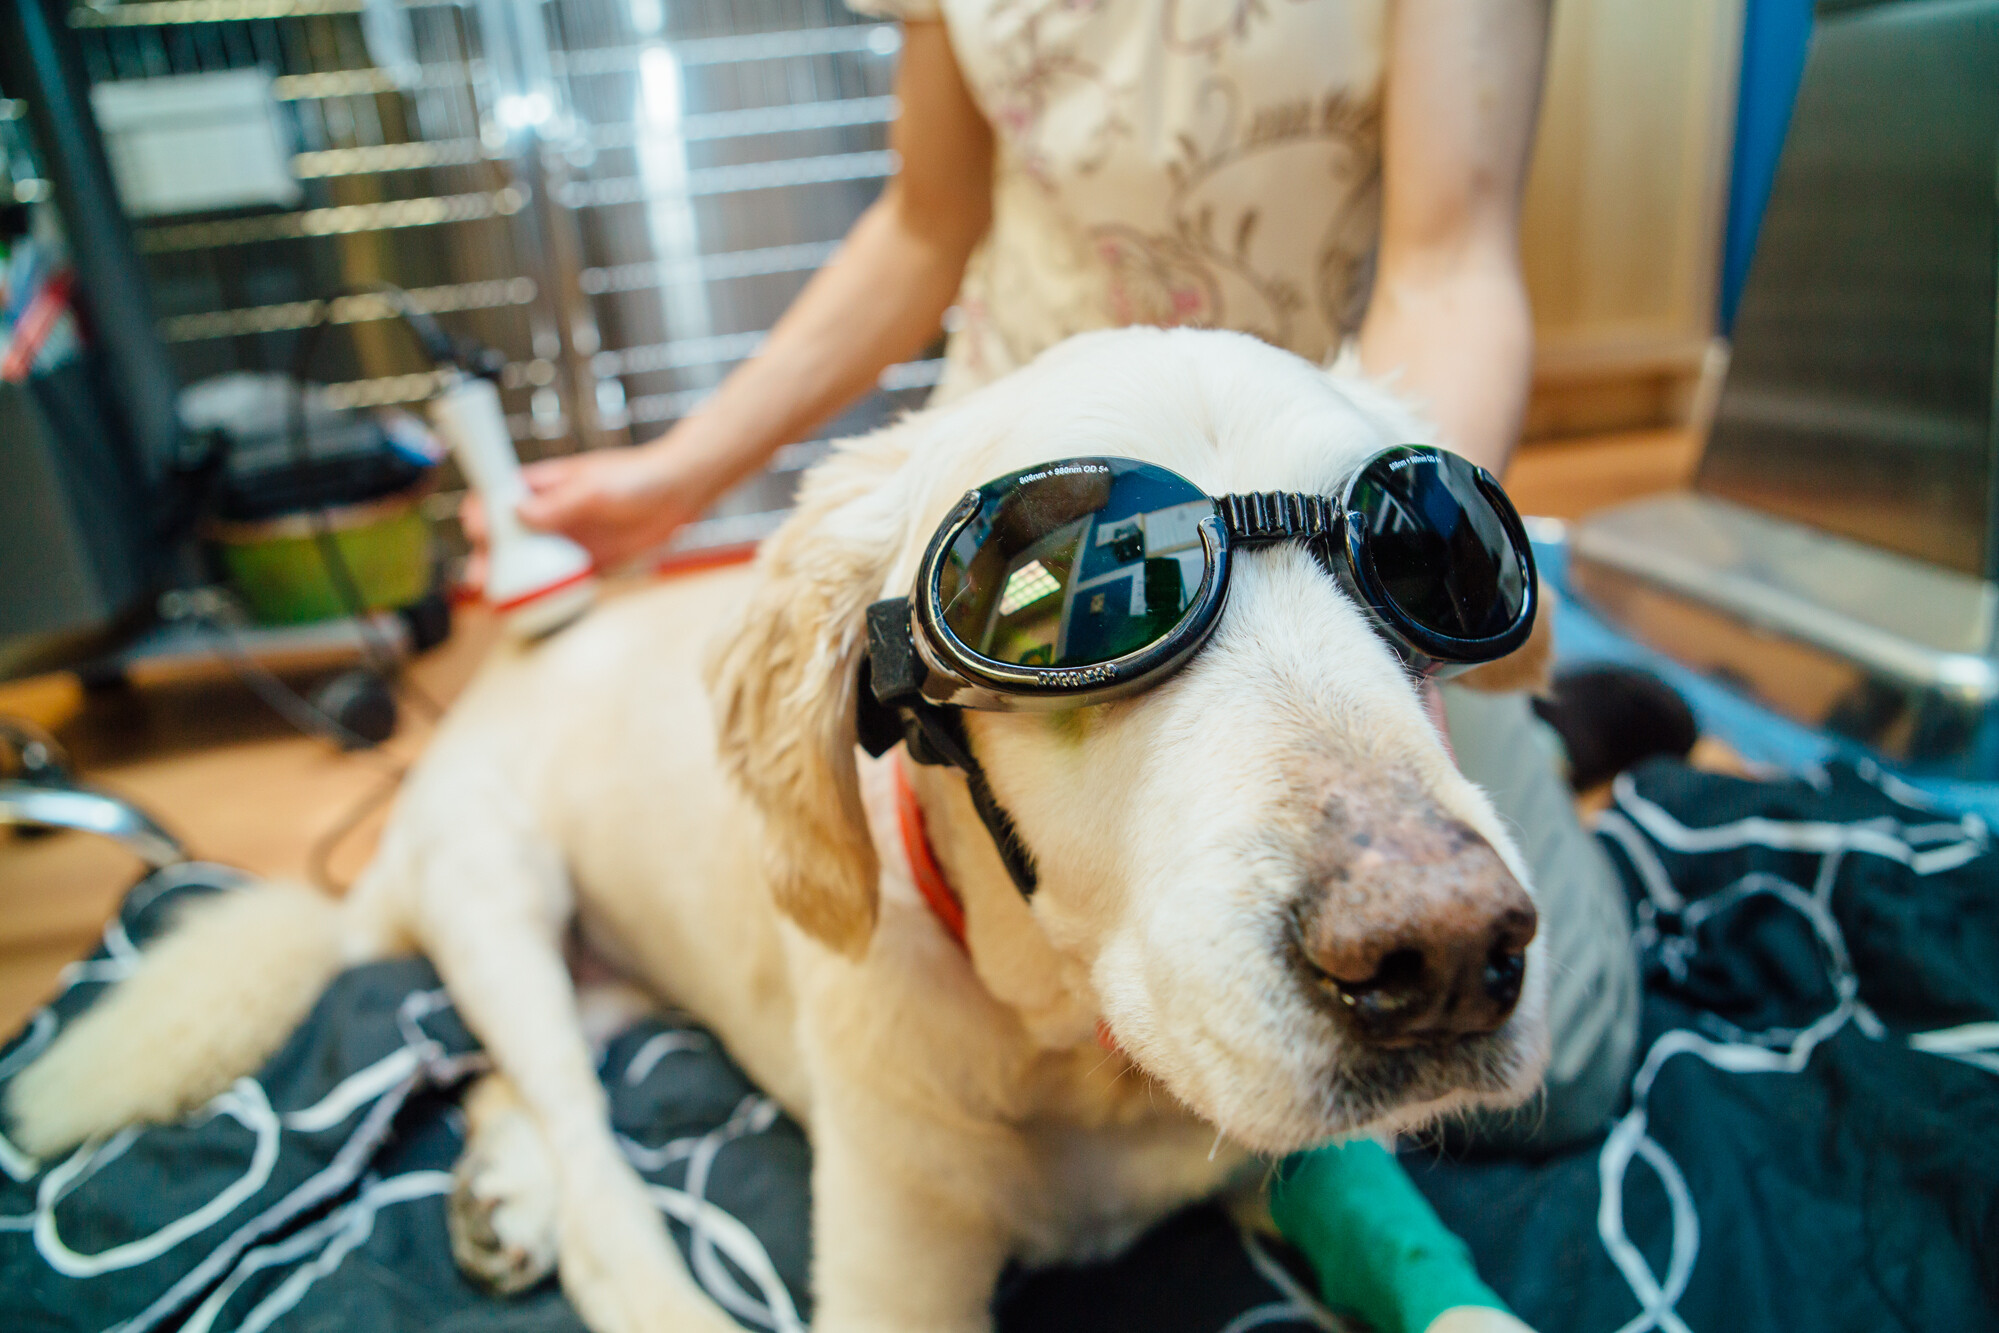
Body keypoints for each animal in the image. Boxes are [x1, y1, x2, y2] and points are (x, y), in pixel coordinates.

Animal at [7, 327, 1551, 1333]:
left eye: (1434, 563)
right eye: (1068, 602)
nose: (1440, 953)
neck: (1069, 1051)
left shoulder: (1313, 1168)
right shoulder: (893, 1278)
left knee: (520, 1082)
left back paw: (497, 1189)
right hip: (496, 893)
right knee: (592, 1167)